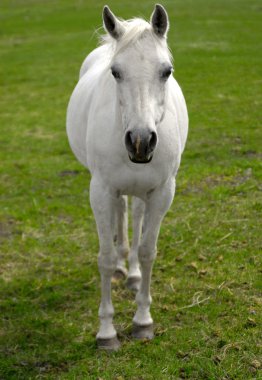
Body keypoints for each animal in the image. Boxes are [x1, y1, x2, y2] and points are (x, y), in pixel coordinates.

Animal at [66, 3, 187, 350]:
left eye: (167, 71)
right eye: (115, 72)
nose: (140, 141)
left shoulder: (163, 192)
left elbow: (147, 251)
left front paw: (143, 321)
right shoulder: (100, 191)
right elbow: (105, 257)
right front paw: (106, 332)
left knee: (133, 214)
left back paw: (132, 274)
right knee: (121, 213)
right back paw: (122, 267)